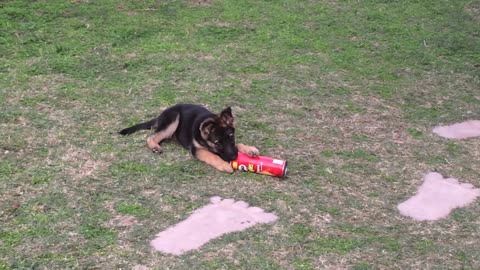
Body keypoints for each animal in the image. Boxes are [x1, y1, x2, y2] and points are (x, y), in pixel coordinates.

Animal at [119, 103, 260, 173]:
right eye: (217, 143)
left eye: (231, 137)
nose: (233, 157)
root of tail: (160, 116)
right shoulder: (197, 150)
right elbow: (212, 156)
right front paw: (223, 165)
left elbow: (238, 145)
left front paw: (249, 149)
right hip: (173, 119)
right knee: (152, 137)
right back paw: (155, 147)